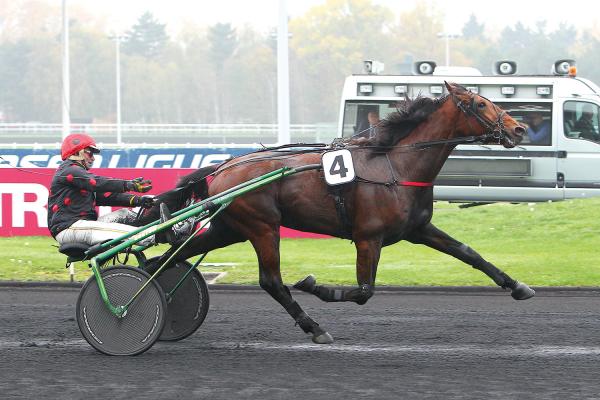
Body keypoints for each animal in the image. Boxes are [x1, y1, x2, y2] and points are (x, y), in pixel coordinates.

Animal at [150, 82, 536, 344]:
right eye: (481, 103)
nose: (519, 128)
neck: (395, 165)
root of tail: (222, 168)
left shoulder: (417, 229)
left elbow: (469, 253)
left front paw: (518, 286)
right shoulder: (368, 238)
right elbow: (364, 291)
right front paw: (315, 286)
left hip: (228, 228)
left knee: (167, 259)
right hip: (262, 227)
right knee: (271, 281)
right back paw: (314, 327)